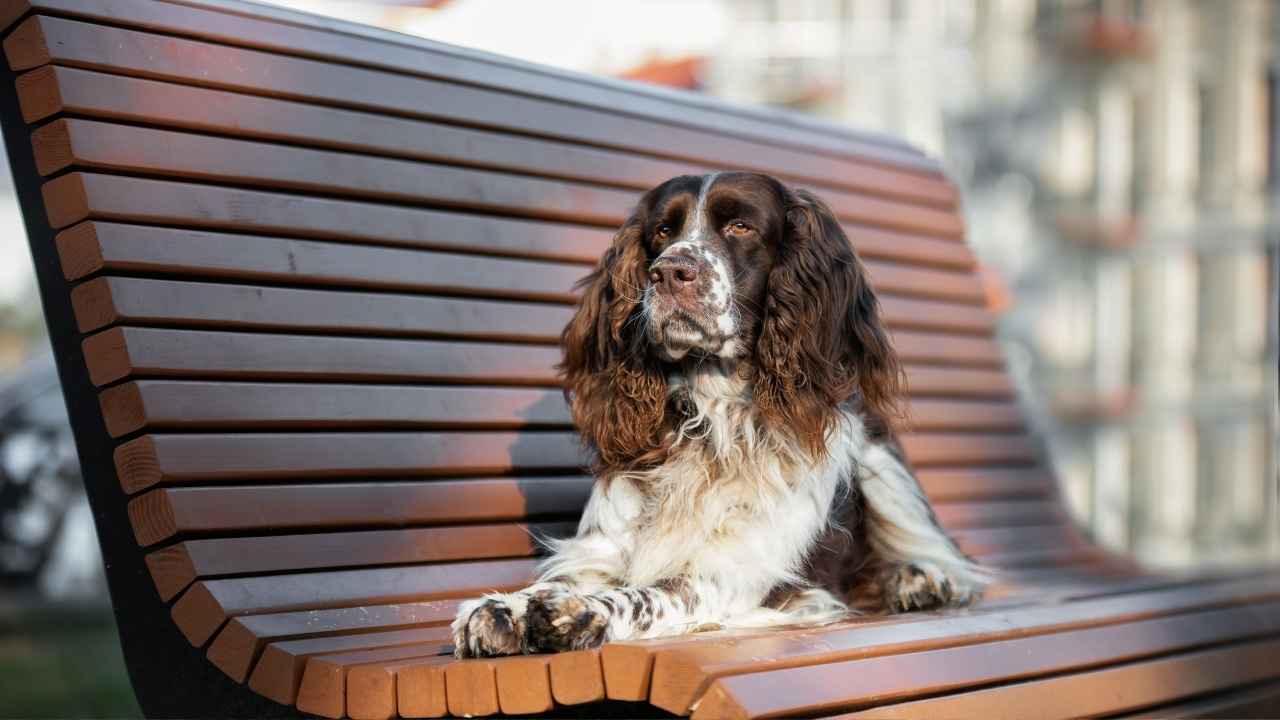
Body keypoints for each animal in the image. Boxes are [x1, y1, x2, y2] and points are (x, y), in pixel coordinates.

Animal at [453, 169, 988, 655]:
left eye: (740, 227)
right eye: (662, 232)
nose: (669, 272)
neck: (711, 418)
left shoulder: (735, 576)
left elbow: (650, 595)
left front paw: (584, 613)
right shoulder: (600, 551)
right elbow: (561, 581)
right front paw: (504, 606)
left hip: (881, 467)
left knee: (939, 552)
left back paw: (920, 579)